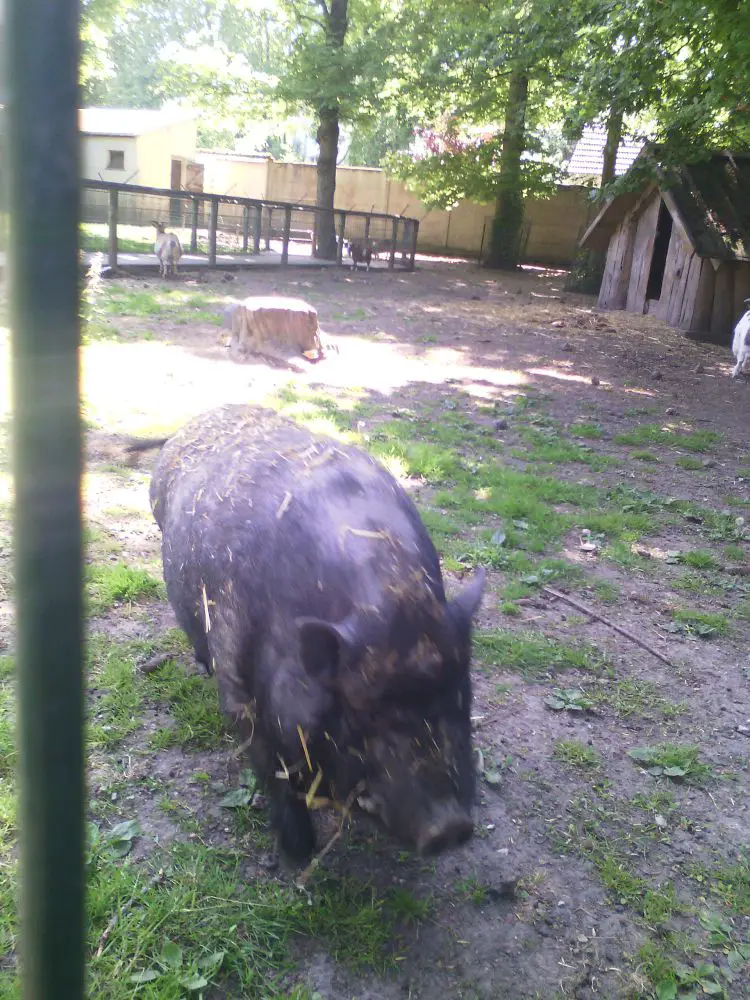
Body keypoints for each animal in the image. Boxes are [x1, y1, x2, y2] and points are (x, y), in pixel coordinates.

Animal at [145, 404, 488, 860]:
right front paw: (298, 857)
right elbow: (273, 775)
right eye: (363, 713)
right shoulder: (238, 692)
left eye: (459, 694)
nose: (449, 826)